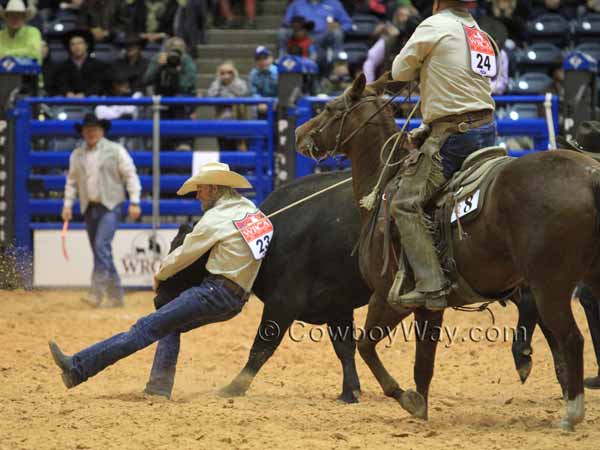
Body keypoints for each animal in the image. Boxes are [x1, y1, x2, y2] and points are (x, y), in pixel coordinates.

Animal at [294, 74, 600, 432]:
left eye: (330, 107)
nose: (298, 133)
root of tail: (590, 176)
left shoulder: (388, 297)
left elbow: (367, 346)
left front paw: (408, 399)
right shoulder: (432, 307)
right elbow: (424, 363)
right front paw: (422, 409)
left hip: (550, 284)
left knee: (571, 338)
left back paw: (571, 412)